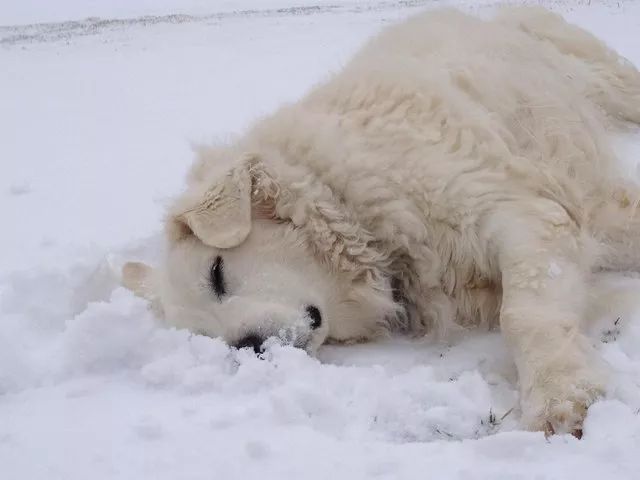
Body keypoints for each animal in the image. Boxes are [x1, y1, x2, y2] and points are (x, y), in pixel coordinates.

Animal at [122, 6, 640, 436]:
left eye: (217, 273)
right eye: (204, 337)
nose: (247, 348)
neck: (350, 204)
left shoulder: (517, 210)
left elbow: (524, 312)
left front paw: (559, 394)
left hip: (602, 79)